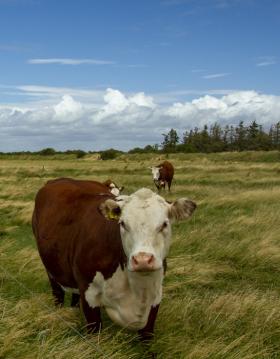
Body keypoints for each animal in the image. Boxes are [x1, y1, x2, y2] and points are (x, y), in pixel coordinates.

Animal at [31, 180, 196, 344]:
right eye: (123, 224)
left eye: (164, 224)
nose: (142, 260)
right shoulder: (89, 295)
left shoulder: (154, 299)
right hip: (52, 272)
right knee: (58, 295)